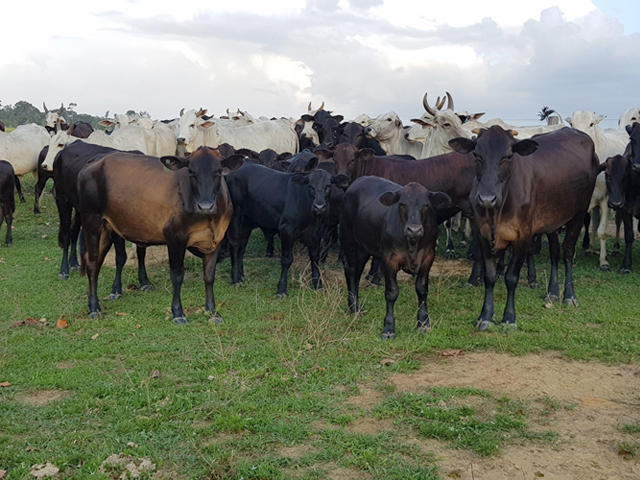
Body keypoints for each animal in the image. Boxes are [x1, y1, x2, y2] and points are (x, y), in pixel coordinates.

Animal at [77, 146, 242, 324]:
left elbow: (209, 276)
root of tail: (97, 159)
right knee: (92, 263)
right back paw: (95, 308)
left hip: (107, 229)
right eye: (191, 172)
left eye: (218, 171)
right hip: (91, 220)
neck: (209, 219)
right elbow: (177, 276)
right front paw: (178, 313)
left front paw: (212, 312)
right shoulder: (174, 236)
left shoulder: (215, 240)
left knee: (97, 262)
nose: (205, 206)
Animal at [226, 163, 348, 296]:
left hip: (248, 220)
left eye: (328, 186)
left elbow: (315, 259)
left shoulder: (317, 232)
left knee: (242, 244)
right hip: (236, 215)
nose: (319, 206)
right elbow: (286, 260)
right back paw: (236, 278)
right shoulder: (286, 230)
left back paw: (241, 275)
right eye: (310, 186)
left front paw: (318, 285)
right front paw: (281, 289)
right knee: (235, 244)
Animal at [342, 176, 452, 338]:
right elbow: (392, 293)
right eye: (402, 204)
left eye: (426, 205)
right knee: (350, 270)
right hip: (348, 238)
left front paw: (423, 323)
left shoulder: (428, 256)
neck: (412, 243)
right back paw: (354, 308)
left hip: (364, 246)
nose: (414, 229)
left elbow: (422, 289)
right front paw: (388, 328)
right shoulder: (389, 259)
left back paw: (356, 306)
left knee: (358, 270)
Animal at [450, 125, 600, 332]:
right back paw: (552, 292)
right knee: (555, 252)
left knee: (568, 252)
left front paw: (508, 319)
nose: (487, 199)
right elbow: (489, 276)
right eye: (476, 155)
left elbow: (511, 278)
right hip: (552, 220)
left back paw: (569, 295)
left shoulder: (524, 236)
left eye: (508, 156)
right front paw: (485, 316)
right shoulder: (482, 233)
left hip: (579, 213)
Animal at [568, 110, 628, 272]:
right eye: (571, 124)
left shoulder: (607, 199)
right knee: (594, 221)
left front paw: (604, 261)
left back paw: (616, 248)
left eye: (591, 123)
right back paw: (591, 248)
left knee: (618, 220)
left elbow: (602, 231)